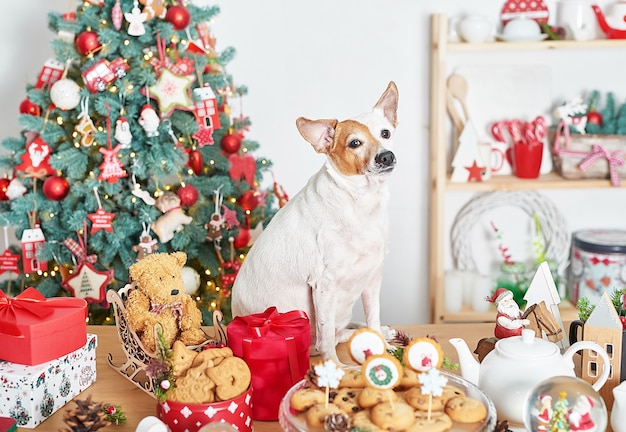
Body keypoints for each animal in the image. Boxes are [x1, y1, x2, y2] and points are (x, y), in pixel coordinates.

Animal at [230, 82, 400, 364]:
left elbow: (373, 318)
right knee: (327, 337)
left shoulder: (373, 278)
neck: (359, 202)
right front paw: (334, 367)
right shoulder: (324, 285)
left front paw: (382, 345)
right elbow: (326, 335)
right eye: (355, 143)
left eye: (385, 133)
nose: (386, 156)